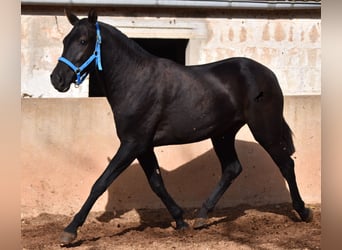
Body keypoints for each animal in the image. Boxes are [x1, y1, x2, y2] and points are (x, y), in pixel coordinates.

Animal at [50, 9, 312, 244]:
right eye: (65, 41)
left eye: (83, 41)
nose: (57, 79)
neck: (135, 81)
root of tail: (268, 74)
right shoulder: (143, 146)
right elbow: (156, 183)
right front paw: (180, 220)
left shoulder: (132, 144)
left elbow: (100, 183)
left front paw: (70, 231)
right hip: (223, 134)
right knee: (232, 168)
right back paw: (202, 216)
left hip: (264, 128)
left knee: (286, 164)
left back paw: (303, 211)